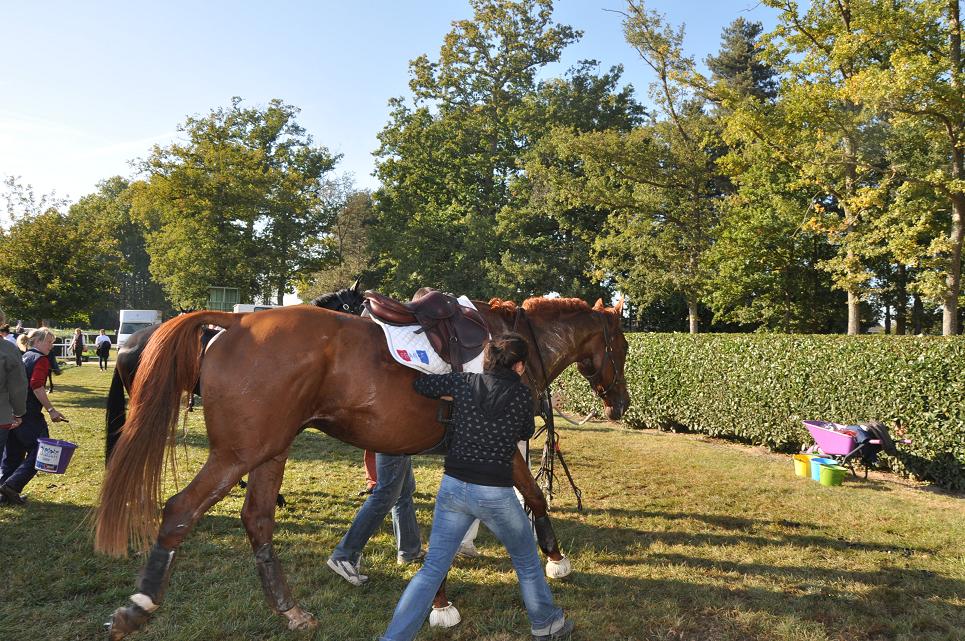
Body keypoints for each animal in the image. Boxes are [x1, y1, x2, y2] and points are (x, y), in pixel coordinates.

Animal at [94, 296, 628, 636]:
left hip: (270, 451)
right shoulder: (496, 445)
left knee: (258, 520)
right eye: (622, 348)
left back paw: (290, 610)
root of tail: (237, 322)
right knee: (180, 510)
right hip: (237, 454)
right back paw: (138, 607)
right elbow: (526, 497)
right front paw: (549, 559)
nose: (621, 404)